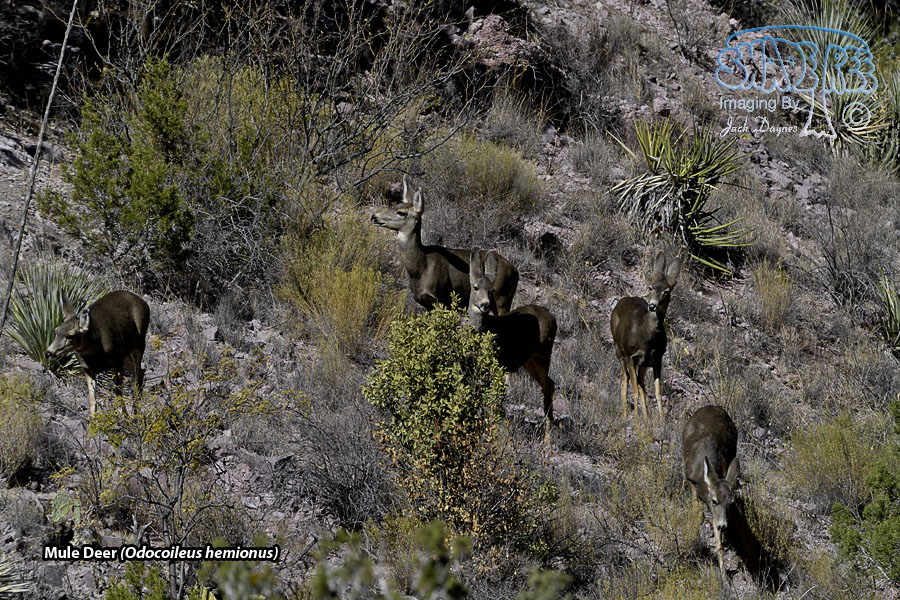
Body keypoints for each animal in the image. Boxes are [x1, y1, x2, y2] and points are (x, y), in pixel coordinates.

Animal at [372, 176, 519, 314]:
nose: (374, 216)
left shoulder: (441, 298)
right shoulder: (426, 303)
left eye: (401, 212)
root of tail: (515, 270)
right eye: (394, 206)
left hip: (502, 298)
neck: (421, 268)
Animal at [467, 249, 557, 438]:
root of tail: (553, 318)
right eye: (476, 287)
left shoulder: (498, 363)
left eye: (492, 290)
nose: (485, 305)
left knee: (548, 386)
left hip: (544, 352)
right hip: (528, 360)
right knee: (550, 384)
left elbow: (494, 398)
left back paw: (548, 436)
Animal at [610, 251, 681, 419]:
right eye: (650, 287)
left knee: (641, 383)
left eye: (666, 292)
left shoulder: (657, 359)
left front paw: (661, 419)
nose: (652, 305)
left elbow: (657, 392)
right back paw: (625, 415)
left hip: (643, 363)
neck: (647, 338)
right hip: (619, 351)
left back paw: (646, 417)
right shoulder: (631, 356)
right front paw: (636, 419)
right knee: (625, 379)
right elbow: (635, 390)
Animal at [682, 405, 740, 573]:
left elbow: (719, 543)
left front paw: (723, 575)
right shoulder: (689, 478)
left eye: (730, 502)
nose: (724, 526)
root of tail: (713, 406)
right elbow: (698, 513)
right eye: (714, 500)